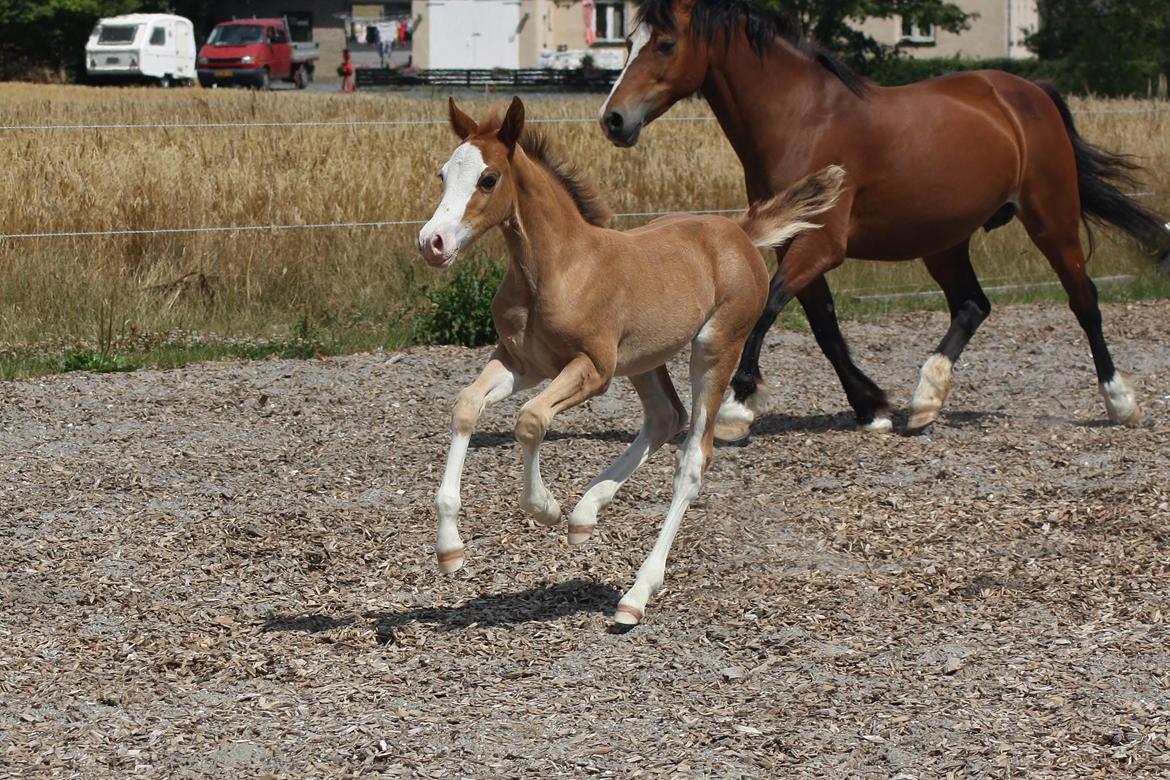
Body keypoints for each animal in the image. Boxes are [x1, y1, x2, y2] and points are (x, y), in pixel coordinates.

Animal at [416, 94, 847, 626]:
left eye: (488, 179)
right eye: (442, 174)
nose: (432, 242)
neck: (557, 267)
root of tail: (739, 232)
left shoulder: (594, 369)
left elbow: (531, 419)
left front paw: (545, 507)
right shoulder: (522, 362)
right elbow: (465, 406)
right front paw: (449, 549)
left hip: (713, 349)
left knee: (692, 458)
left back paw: (636, 593)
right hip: (643, 360)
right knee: (665, 417)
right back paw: (586, 514)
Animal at [599, 0, 1165, 439]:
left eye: (665, 43)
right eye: (627, 39)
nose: (613, 120)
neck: (801, 119)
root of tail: (1029, 92)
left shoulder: (822, 245)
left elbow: (770, 306)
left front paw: (738, 407)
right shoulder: (793, 242)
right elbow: (824, 326)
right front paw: (872, 408)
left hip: (1051, 217)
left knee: (1083, 299)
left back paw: (1119, 402)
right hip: (944, 240)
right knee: (972, 305)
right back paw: (925, 401)